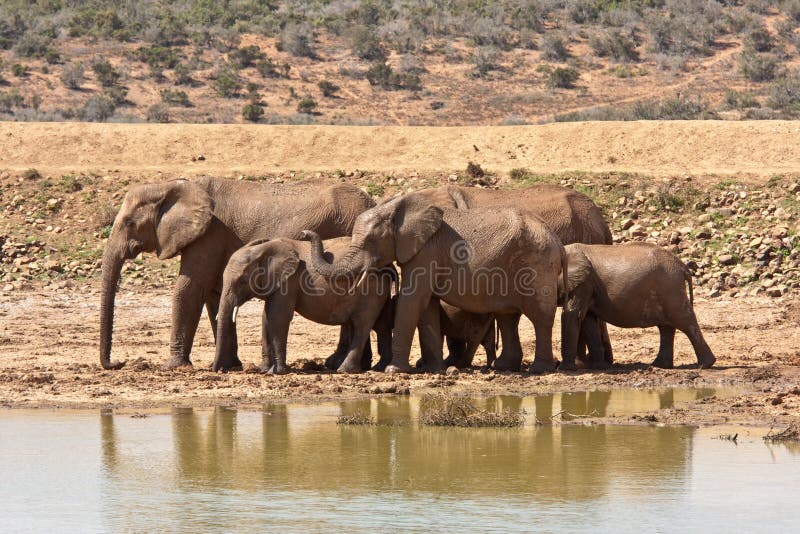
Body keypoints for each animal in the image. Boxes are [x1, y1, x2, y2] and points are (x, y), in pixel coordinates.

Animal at [100, 178, 376, 370]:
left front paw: (173, 367)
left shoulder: (210, 234)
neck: (171, 186)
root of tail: (372, 202)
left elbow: (189, 289)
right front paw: (231, 366)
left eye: (130, 224)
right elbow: (213, 296)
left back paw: (338, 364)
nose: (118, 364)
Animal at [212, 237, 394, 374]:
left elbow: (278, 317)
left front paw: (277, 372)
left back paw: (344, 370)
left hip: (371, 290)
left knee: (362, 325)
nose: (218, 370)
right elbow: (266, 318)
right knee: (366, 325)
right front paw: (263, 370)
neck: (262, 250)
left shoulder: (289, 282)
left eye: (242, 281)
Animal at [560, 244, 716, 372]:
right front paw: (598, 367)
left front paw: (566, 368)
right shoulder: (587, 285)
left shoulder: (582, 283)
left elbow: (572, 314)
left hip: (671, 288)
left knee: (683, 321)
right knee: (667, 327)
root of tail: (682, 266)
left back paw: (705, 365)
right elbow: (587, 319)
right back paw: (659, 365)